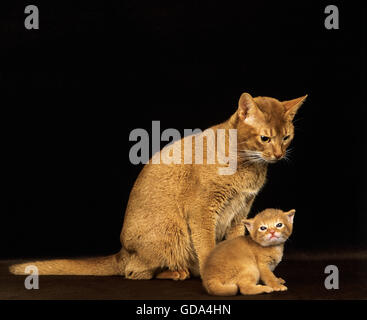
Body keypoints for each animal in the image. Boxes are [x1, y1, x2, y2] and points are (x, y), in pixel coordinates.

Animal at [9, 92, 308, 280]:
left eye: (286, 137)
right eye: (265, 138)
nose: (279, 154)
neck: (246, 162)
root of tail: (123, 252)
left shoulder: (240, 211)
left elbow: (234, 243)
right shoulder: (202, 209)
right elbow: (207, 245)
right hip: (171, 232)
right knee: (134, 273)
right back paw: (176, 272)